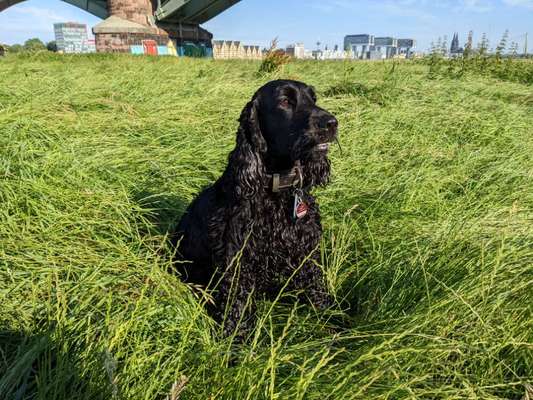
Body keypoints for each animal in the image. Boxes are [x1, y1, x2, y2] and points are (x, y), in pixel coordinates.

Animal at [175, 79, 340, 336]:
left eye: (314, 99)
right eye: (285, 101)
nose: (332, 122)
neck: (277, 190)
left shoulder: (305, 251)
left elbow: (316, 287)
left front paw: (333, 318)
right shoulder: (237, 257)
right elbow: (237, 305)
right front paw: (236, 340)